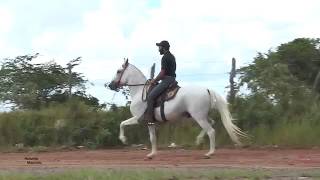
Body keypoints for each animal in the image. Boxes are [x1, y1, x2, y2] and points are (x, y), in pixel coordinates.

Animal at [109, 58, 246, 158]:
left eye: (118, 71)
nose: (111, 85)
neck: (139, 91)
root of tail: (207, 89)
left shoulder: (139, 118)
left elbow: (123, 124)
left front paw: (123, 139)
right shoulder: (150, 122)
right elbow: (153, 138)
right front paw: (152, 154)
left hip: (199, 117)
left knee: (211, 131)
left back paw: (209, 153)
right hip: (201, 116)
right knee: (211, 124)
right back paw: (198, 140)